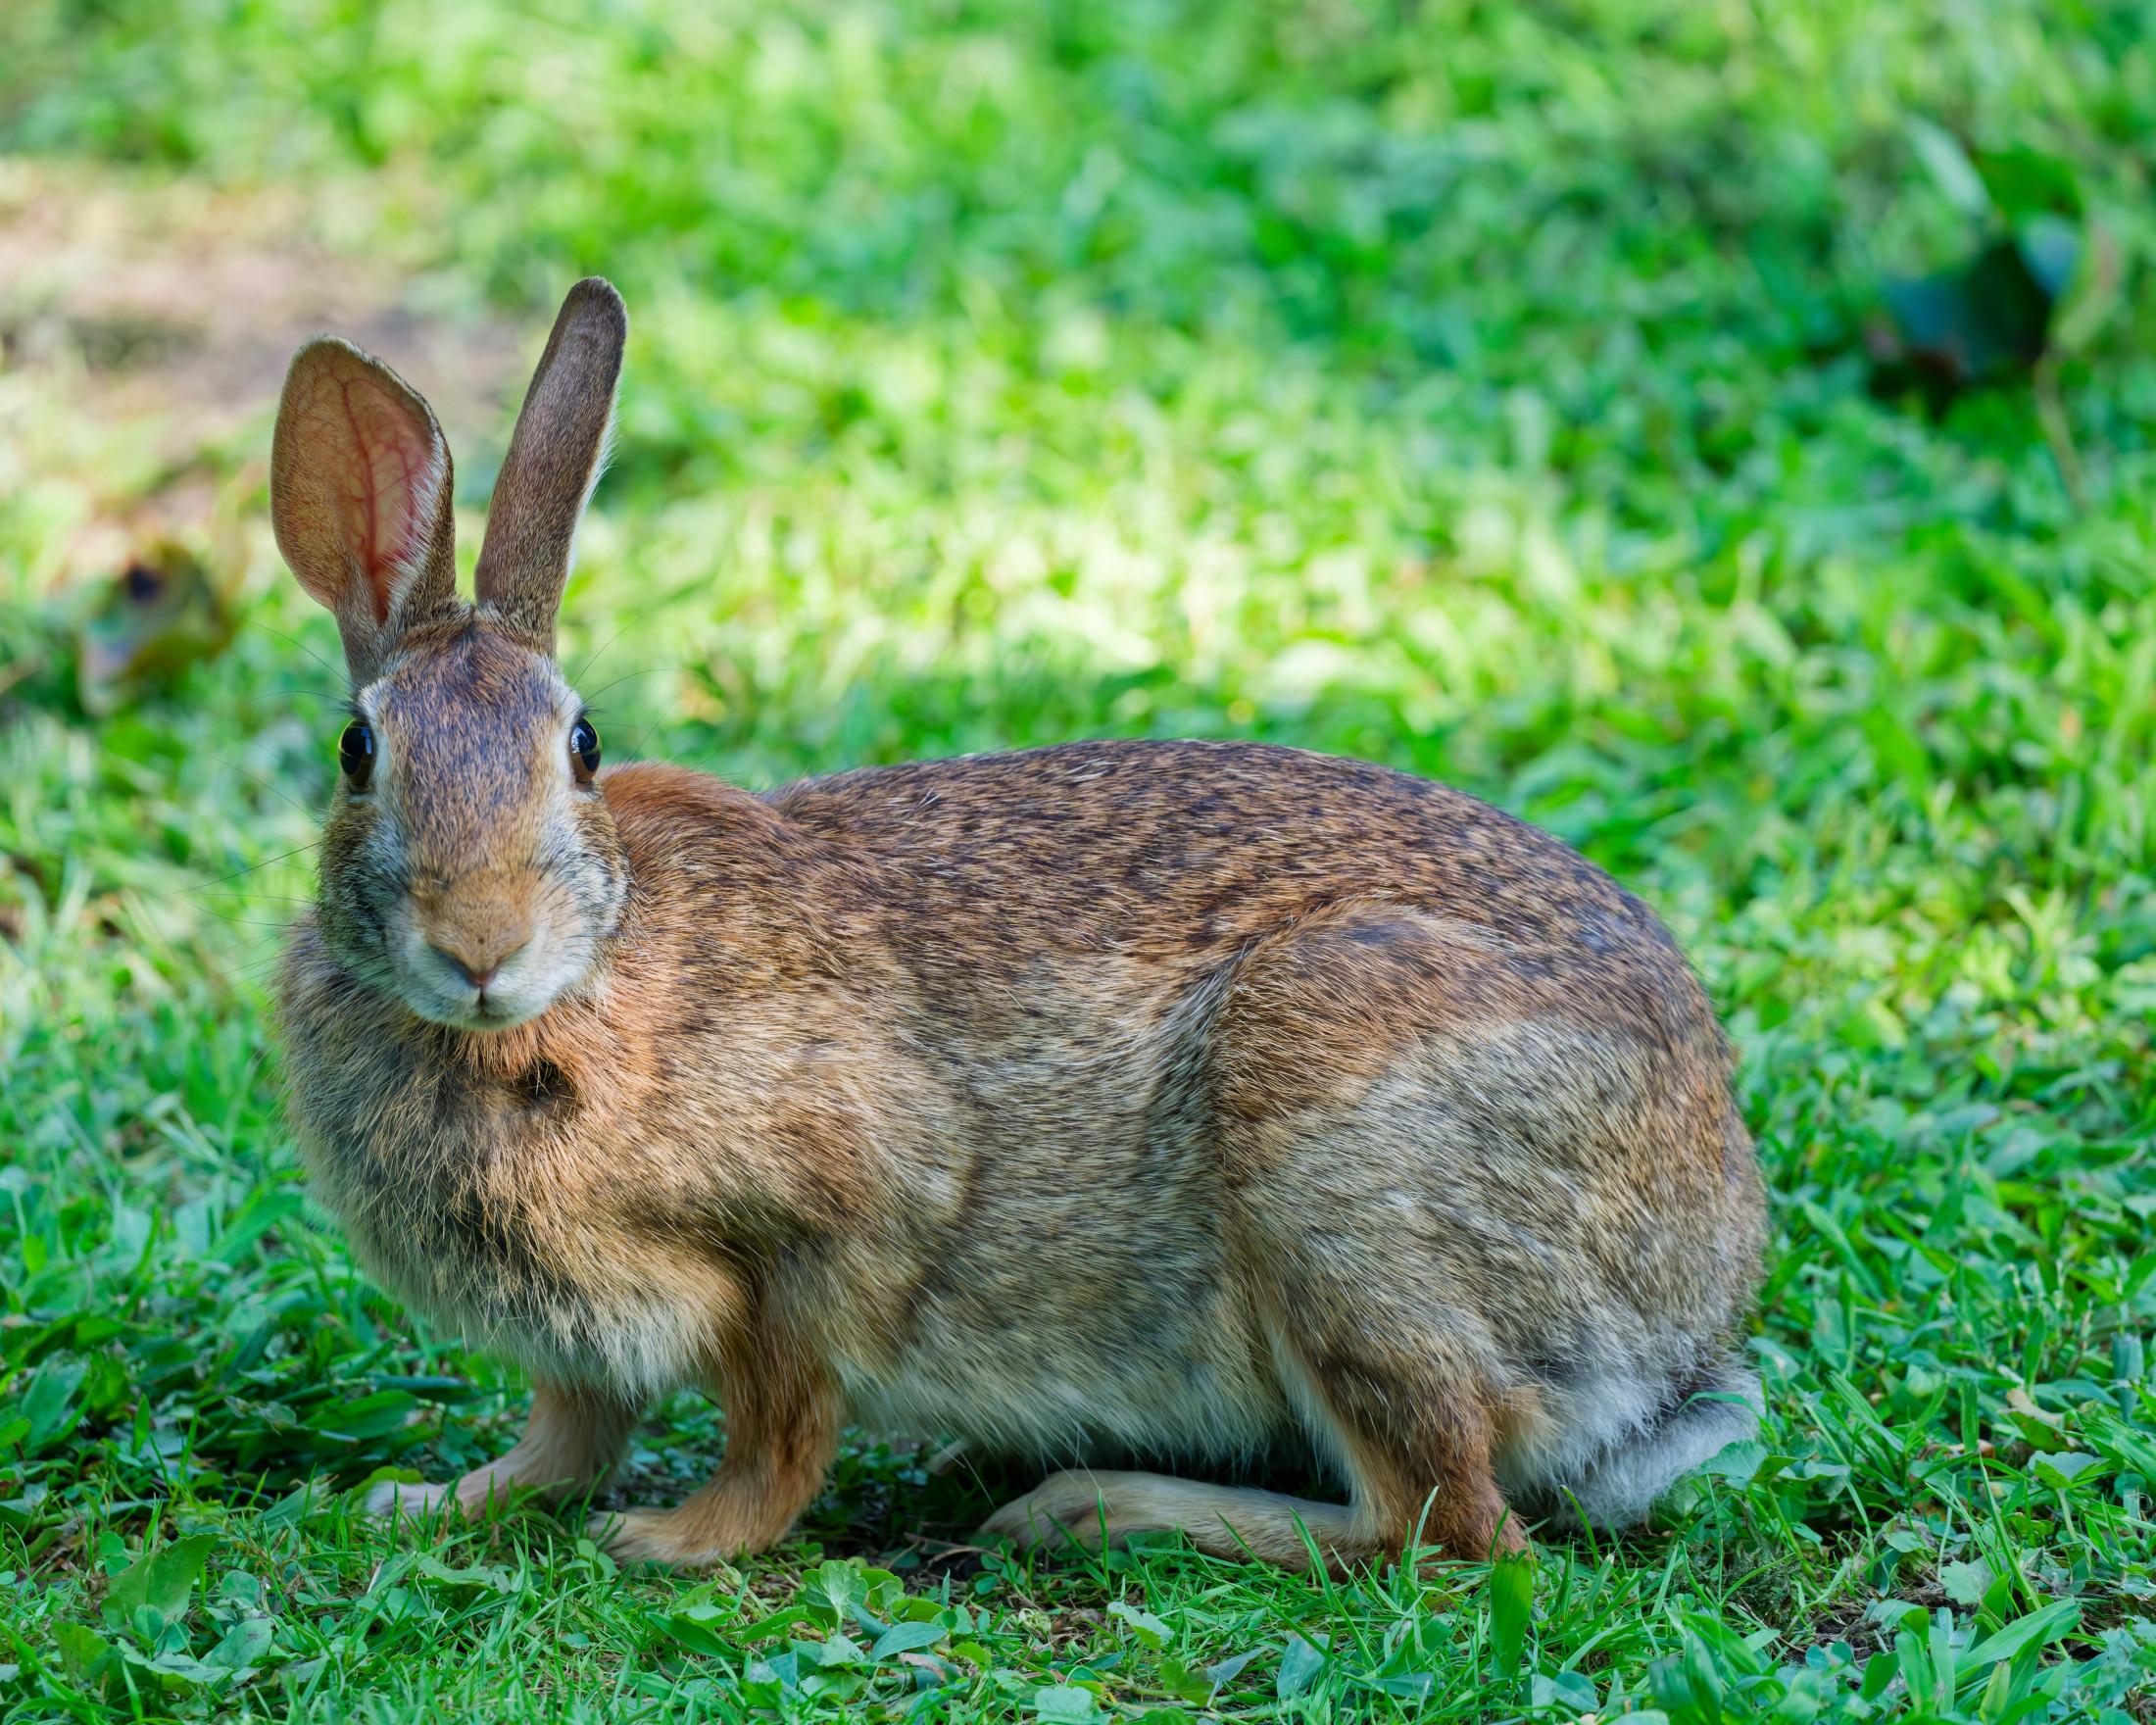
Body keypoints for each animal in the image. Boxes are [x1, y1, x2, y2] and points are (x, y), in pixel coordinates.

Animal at [270, 276, 1767, 1574]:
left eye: (580, 747)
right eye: (358, 751)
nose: (483, 946)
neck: (596, 971)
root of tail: (1697, 1280)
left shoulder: (838, 1219)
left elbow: (778, 1431)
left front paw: (671, 1542)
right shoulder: (577, 1339)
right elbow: (570, 1433)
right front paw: (430, 1501)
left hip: (1338, 1158)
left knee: (1438, 1521)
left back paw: (1088, 1507)